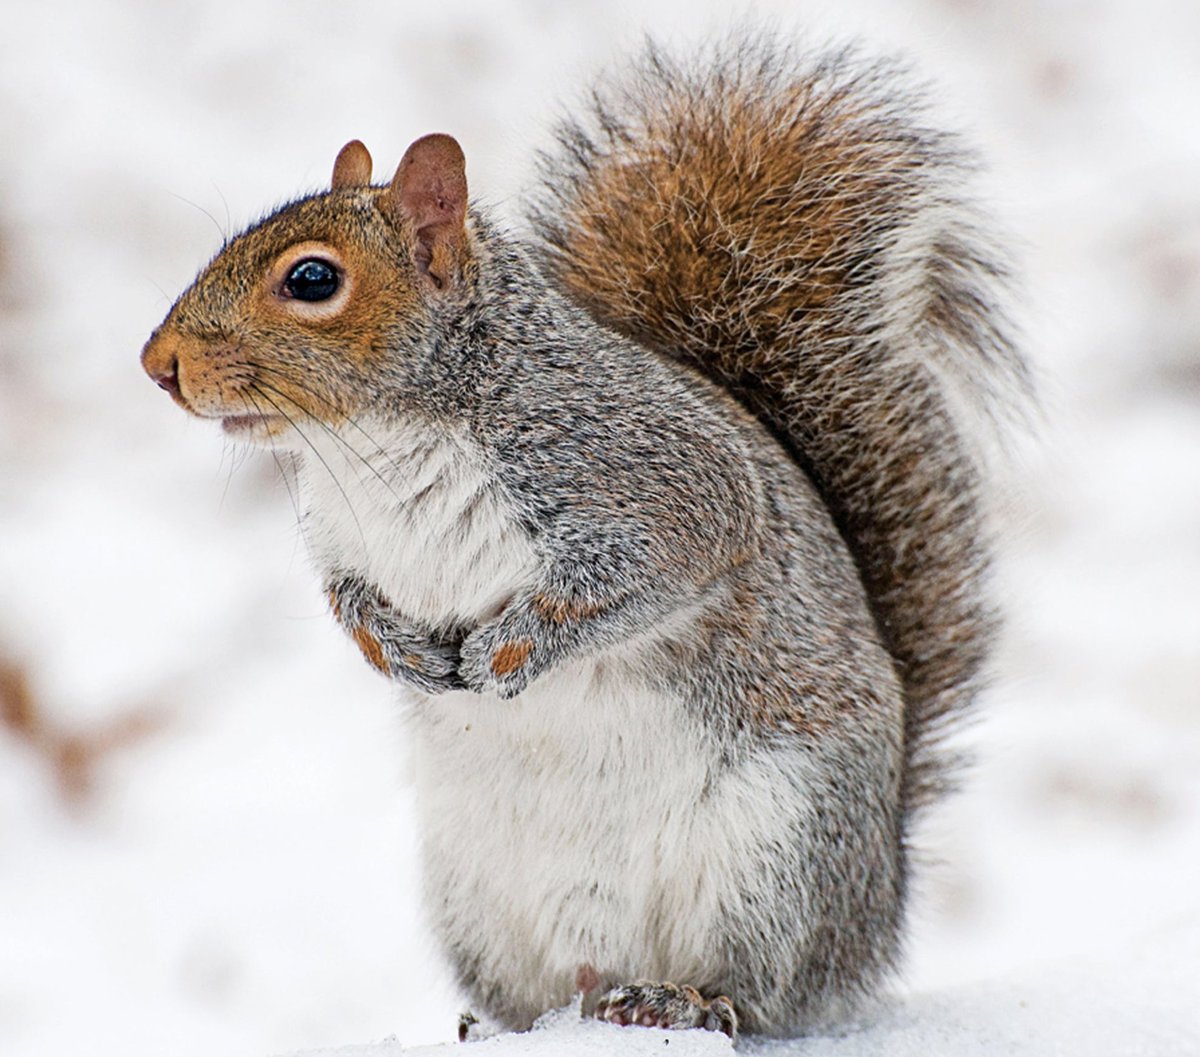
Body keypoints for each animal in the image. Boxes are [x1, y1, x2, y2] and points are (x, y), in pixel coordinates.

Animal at [141, 33, 1026, 1042]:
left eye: (312, 280)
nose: (157, 364)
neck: (382, 441)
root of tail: (878, 906)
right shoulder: (342, 539)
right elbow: (349, 603)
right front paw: (402, 655)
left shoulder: (667, 487)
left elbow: (622, 584)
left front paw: (504, 652)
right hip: (476, 895)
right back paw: (509, 1024)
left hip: (776, 859)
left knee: (764, 995)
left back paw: (684, 998)